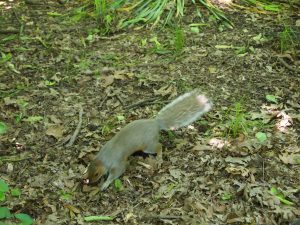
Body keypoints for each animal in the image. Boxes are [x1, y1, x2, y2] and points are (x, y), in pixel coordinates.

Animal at [83, 90, 212, 191]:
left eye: (96, 174)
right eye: (88, 169)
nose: (90, 181)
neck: (105, 157)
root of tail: (155, 124)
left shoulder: (118, 163)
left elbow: (117, 172)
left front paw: (105, 184)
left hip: (148, 146)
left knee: (159, 146)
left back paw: (159, 158)